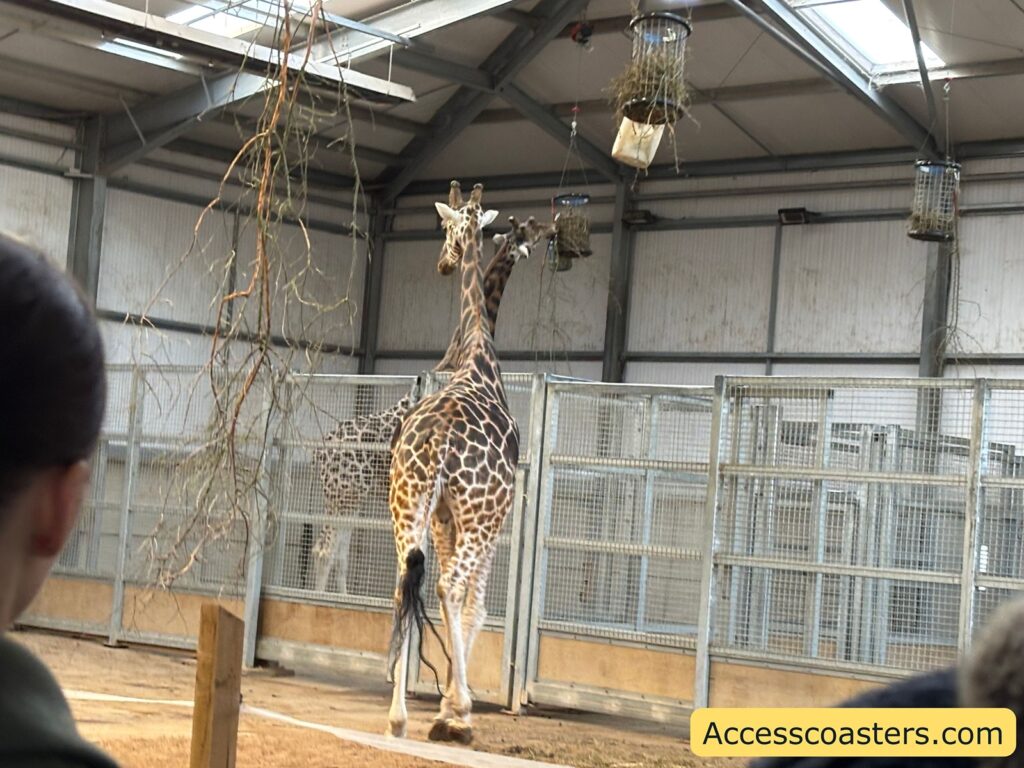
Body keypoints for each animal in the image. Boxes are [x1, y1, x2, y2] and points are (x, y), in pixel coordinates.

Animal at [310, 216, 552, 594]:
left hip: (350, 496)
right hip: (344, 494)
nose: (551, 231)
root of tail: (319, 452)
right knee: (325, 550)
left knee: (338, 554)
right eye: (529, 231)